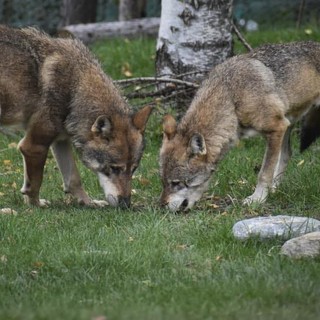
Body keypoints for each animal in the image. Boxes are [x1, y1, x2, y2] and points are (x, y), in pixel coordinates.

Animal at [0, 26, 152, 209]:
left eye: (133, 169)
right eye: (114, 168)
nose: (125, 204)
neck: (74, 88)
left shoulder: (61, 141)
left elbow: (74, 179)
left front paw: (89, 203)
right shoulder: (33, 146)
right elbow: (35, 183)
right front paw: (35, 206)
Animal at [159, 41, 320, 211]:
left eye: (176, 183)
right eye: (163, 181)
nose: (161, 206)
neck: (232, 98)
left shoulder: (276, 127)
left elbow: (264, 173)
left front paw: (257, 199)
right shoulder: (280, 126)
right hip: (288, 123)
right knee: (288, 154)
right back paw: (275, 190)